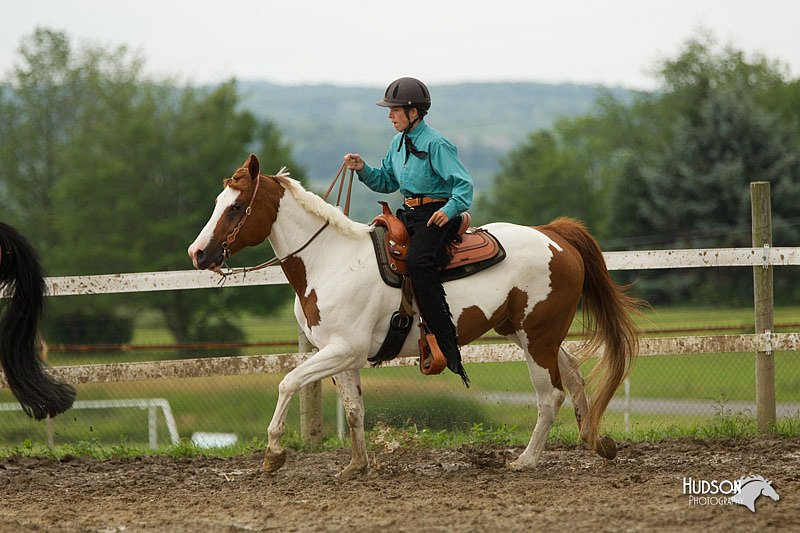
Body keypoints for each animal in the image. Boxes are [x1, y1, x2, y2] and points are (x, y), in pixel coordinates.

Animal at [189, 154, 644, 478]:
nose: (198, 254)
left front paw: (273, 454)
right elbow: (354, 410)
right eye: (217, 203)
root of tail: (553, 234)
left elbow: (288, 382)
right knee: (573, 372)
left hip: (537, 336)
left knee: (549, 395)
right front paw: (356, 466)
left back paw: (527, 460)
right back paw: (596, 442)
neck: (329, 260)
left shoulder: (341, 350)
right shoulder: (341, 356)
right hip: (526, 332)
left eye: (236, 207)